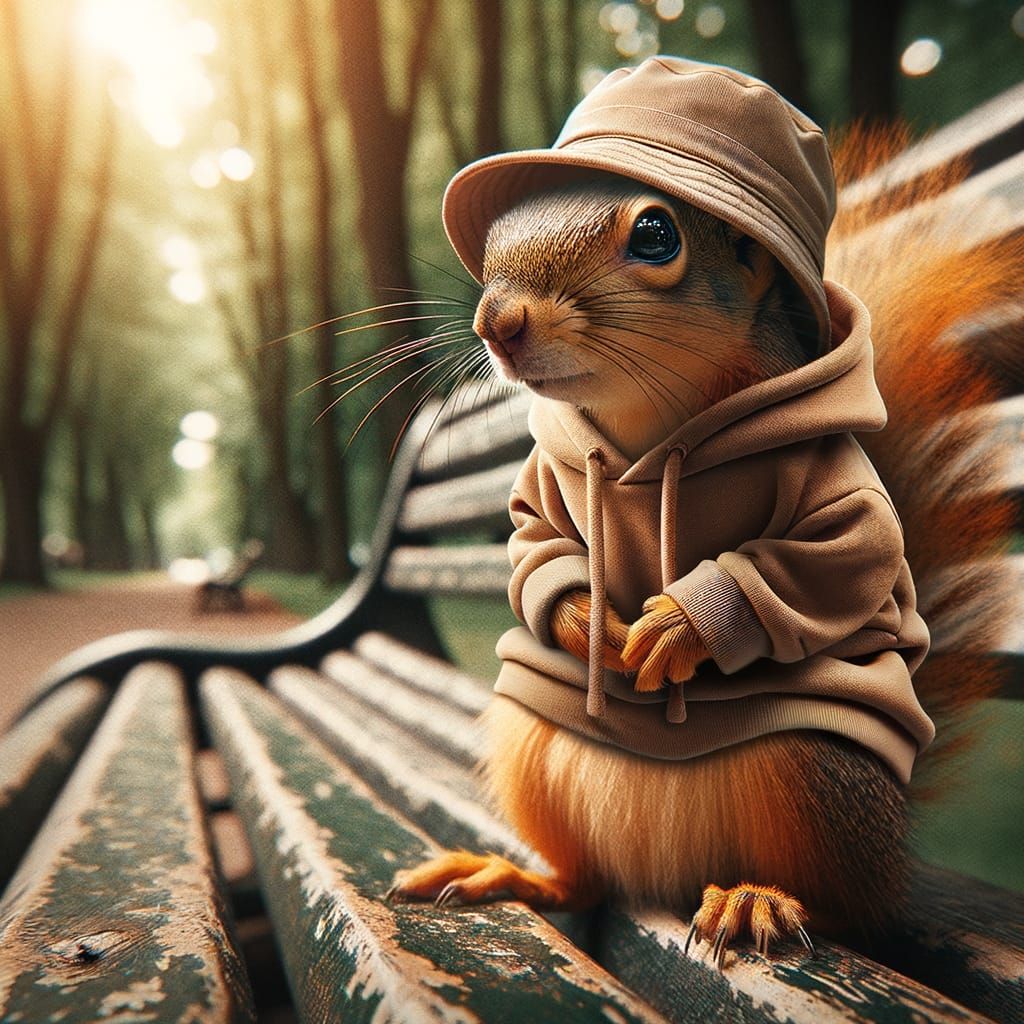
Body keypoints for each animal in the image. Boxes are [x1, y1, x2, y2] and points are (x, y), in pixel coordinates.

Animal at [386, 58, 1021, 961]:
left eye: (657, 234)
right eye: (502, 223)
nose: (496, 322)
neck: (649, 430)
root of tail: (666, 871)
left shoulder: (838, 488)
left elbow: (838, 557)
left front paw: (678, 627)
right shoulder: (545, 482)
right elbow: (535, 543)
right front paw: (589, 620)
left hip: (814, 774)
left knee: (852, 910)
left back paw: (759, 898)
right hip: (530, 741)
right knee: (584, 878)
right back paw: (511, 874)